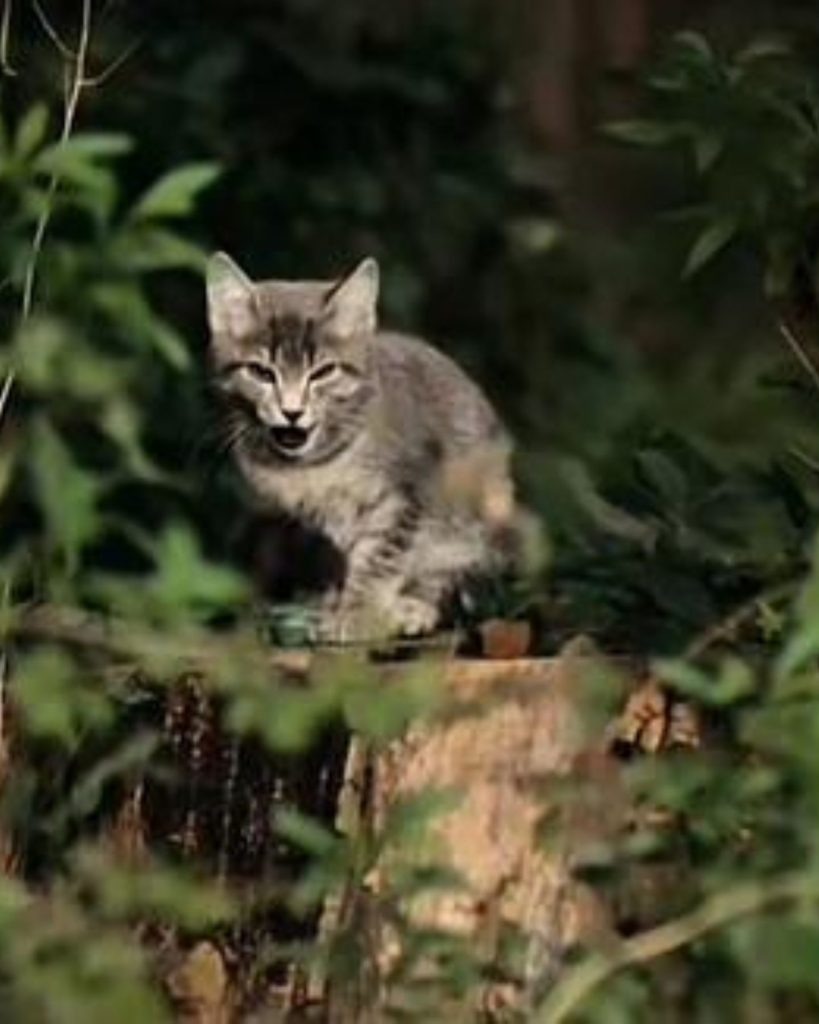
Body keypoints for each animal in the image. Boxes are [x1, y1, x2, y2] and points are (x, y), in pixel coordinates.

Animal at [206, 253, 511, 638]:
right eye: (261, 372)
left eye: (323, 372)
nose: (292, 411)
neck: (316, 461)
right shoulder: (324, 519)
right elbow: (350, 555)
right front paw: (339, 604)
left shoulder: (410, 490)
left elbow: (381, 555)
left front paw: (360, 612)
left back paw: (415, 605)